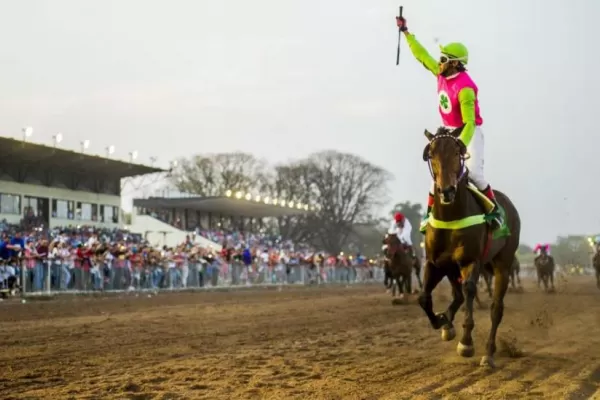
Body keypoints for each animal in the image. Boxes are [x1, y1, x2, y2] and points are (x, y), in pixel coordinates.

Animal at [420, 126, 516, 368]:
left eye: (457, 152)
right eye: (431, 154)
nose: (446, 191)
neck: (451, 216)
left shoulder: (471, 261)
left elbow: (470, 290)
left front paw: (466, 342)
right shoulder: (435, 262)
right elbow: (424, 297)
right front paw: (442, 321)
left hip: (503, 264)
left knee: (496, 309)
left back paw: (489, 353)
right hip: (454, 267)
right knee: (458, 295)